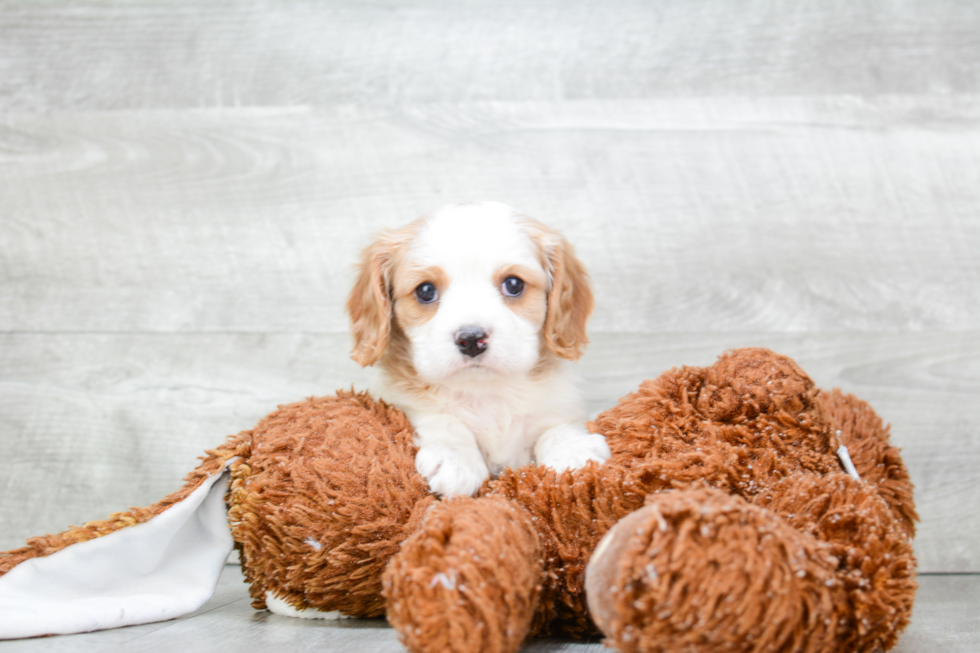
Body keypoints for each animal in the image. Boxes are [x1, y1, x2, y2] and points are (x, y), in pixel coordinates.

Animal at [342, 201, 604, 496]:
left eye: (514, 284)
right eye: (425, 291)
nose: (471, 338)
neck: (485, 393)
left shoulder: (562, 406)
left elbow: (557, 426)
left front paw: (573, 451)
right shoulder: (397, 401)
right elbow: (439, 417)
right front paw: (455, 459)